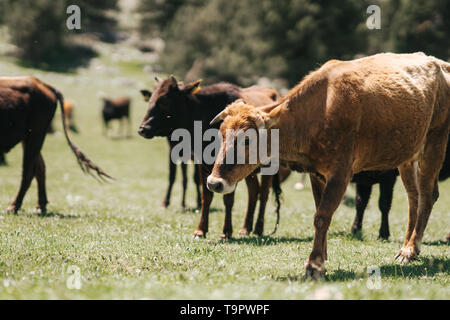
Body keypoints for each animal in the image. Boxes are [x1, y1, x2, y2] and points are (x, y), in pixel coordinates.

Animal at [0, 76, 112, 214]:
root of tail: (41, 83)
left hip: (35, 136)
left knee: (29, 171)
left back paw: (14, 206)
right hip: (29, 139)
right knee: (40, 167)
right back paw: (40, 206)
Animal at [137, 77, 286, 238]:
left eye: (164, 101)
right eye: (150, 99)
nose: (142, 129)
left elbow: (228, 198)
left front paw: (226, 231)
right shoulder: (204, 165)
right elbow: (206, 196)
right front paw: (200, 230)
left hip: (268, 167)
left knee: (263, 194)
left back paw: (258, 229)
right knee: (253, 191)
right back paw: (246, 228)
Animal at [207, 52, 450, 278]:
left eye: (247, 140)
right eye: (220, 135)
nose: (214, 182)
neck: (320, 108)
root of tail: (440, 63)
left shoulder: (340, 174)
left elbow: (322, 216)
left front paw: (314, 264)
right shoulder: (316, 174)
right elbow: (320, 212)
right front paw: (322, 259)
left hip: (435, 142)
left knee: (427, 195)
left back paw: (411, 249)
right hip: (408, 156)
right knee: (413, 197)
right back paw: (406, 247)